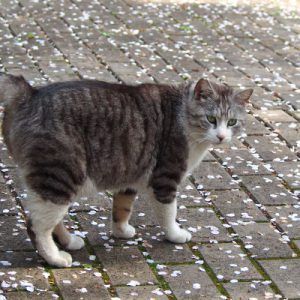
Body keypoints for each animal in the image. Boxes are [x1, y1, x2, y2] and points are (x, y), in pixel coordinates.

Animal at [0, 73, 253, 268]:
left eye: (232, 122)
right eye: (211, 119)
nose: (221, 137)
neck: (182, 112)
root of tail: (30, 93)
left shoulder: (130, 175)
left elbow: (122, 208)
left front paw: (121, 231)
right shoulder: (165, 179)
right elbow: (169, 214)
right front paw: (175, 234)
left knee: (53, 220)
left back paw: (69, 241)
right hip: (60, 176)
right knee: (37, 226)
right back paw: (56, 258)